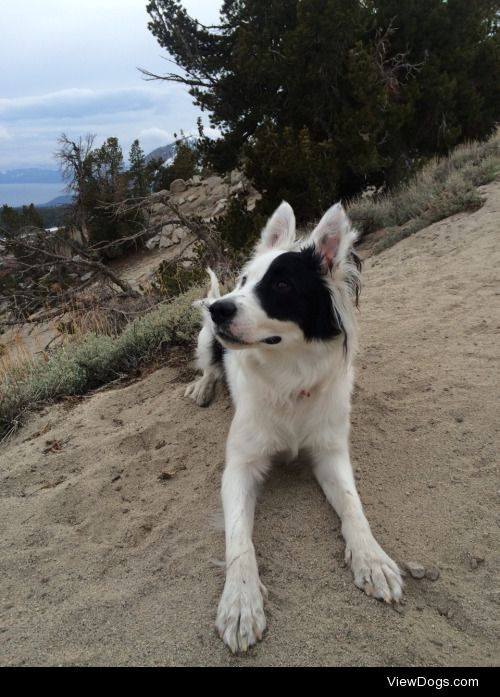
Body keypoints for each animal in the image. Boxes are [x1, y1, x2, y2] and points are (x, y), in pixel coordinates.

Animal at [186, 201, 404, 652]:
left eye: (282, 285)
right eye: (244, 280)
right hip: (204, 340)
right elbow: (239, 539)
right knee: (209, 363)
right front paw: (240, 603)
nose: (219, 310)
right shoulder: (239, 468)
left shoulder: (330, 453)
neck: (288, 377)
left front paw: (373, 559)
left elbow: (353, 507)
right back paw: (202, 386)